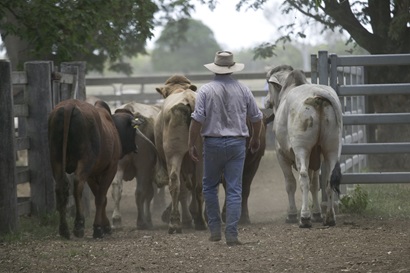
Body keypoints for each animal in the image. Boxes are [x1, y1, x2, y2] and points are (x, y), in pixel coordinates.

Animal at [47, 98, 141, 238]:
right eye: (134, 131)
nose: (136, 147)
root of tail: (69, 105)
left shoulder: (92, 174)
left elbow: (100, 196)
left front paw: (105, 225)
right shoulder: (110, 168)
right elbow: (101, 197)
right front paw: (99, 228)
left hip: (56, 159)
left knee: (60, 187)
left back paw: (64, 229)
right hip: (85, 161)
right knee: (78, 185)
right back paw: (79, 225)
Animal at [262, 65, 342, 226]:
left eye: (268, 83)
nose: (266, 102)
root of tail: (318, 93)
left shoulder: (281, 154)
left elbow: (290, 184)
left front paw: (292, 214)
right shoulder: (315, 158)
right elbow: (315, 184)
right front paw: (317, 213)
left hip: (302, 149)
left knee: (303, 178)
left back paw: (304, 217)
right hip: (332, 148)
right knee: (328, 179)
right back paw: (329, 217)